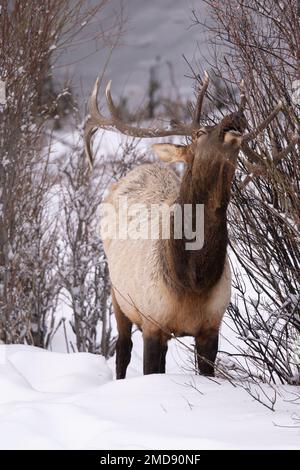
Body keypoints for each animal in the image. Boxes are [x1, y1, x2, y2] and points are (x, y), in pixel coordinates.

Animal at [84, 73, 282, 378]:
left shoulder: (211, 327)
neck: (193, 280)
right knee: (122, 349)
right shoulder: (152, 322)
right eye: (199, 133)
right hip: (118, 295)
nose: (235, 116)